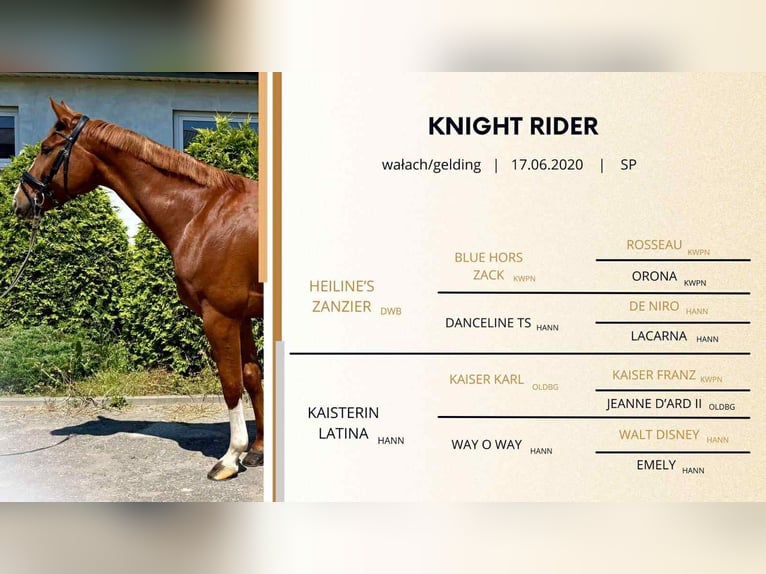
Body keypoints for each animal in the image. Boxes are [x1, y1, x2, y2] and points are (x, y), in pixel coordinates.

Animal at [12, 99, 263, 481]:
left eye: (46, 149)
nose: (19, 201)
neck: (204, 213)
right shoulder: (242, 315)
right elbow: (252, 376)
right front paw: (259, 449)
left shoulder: (219, 316)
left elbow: (230, 382)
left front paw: (230, 459)